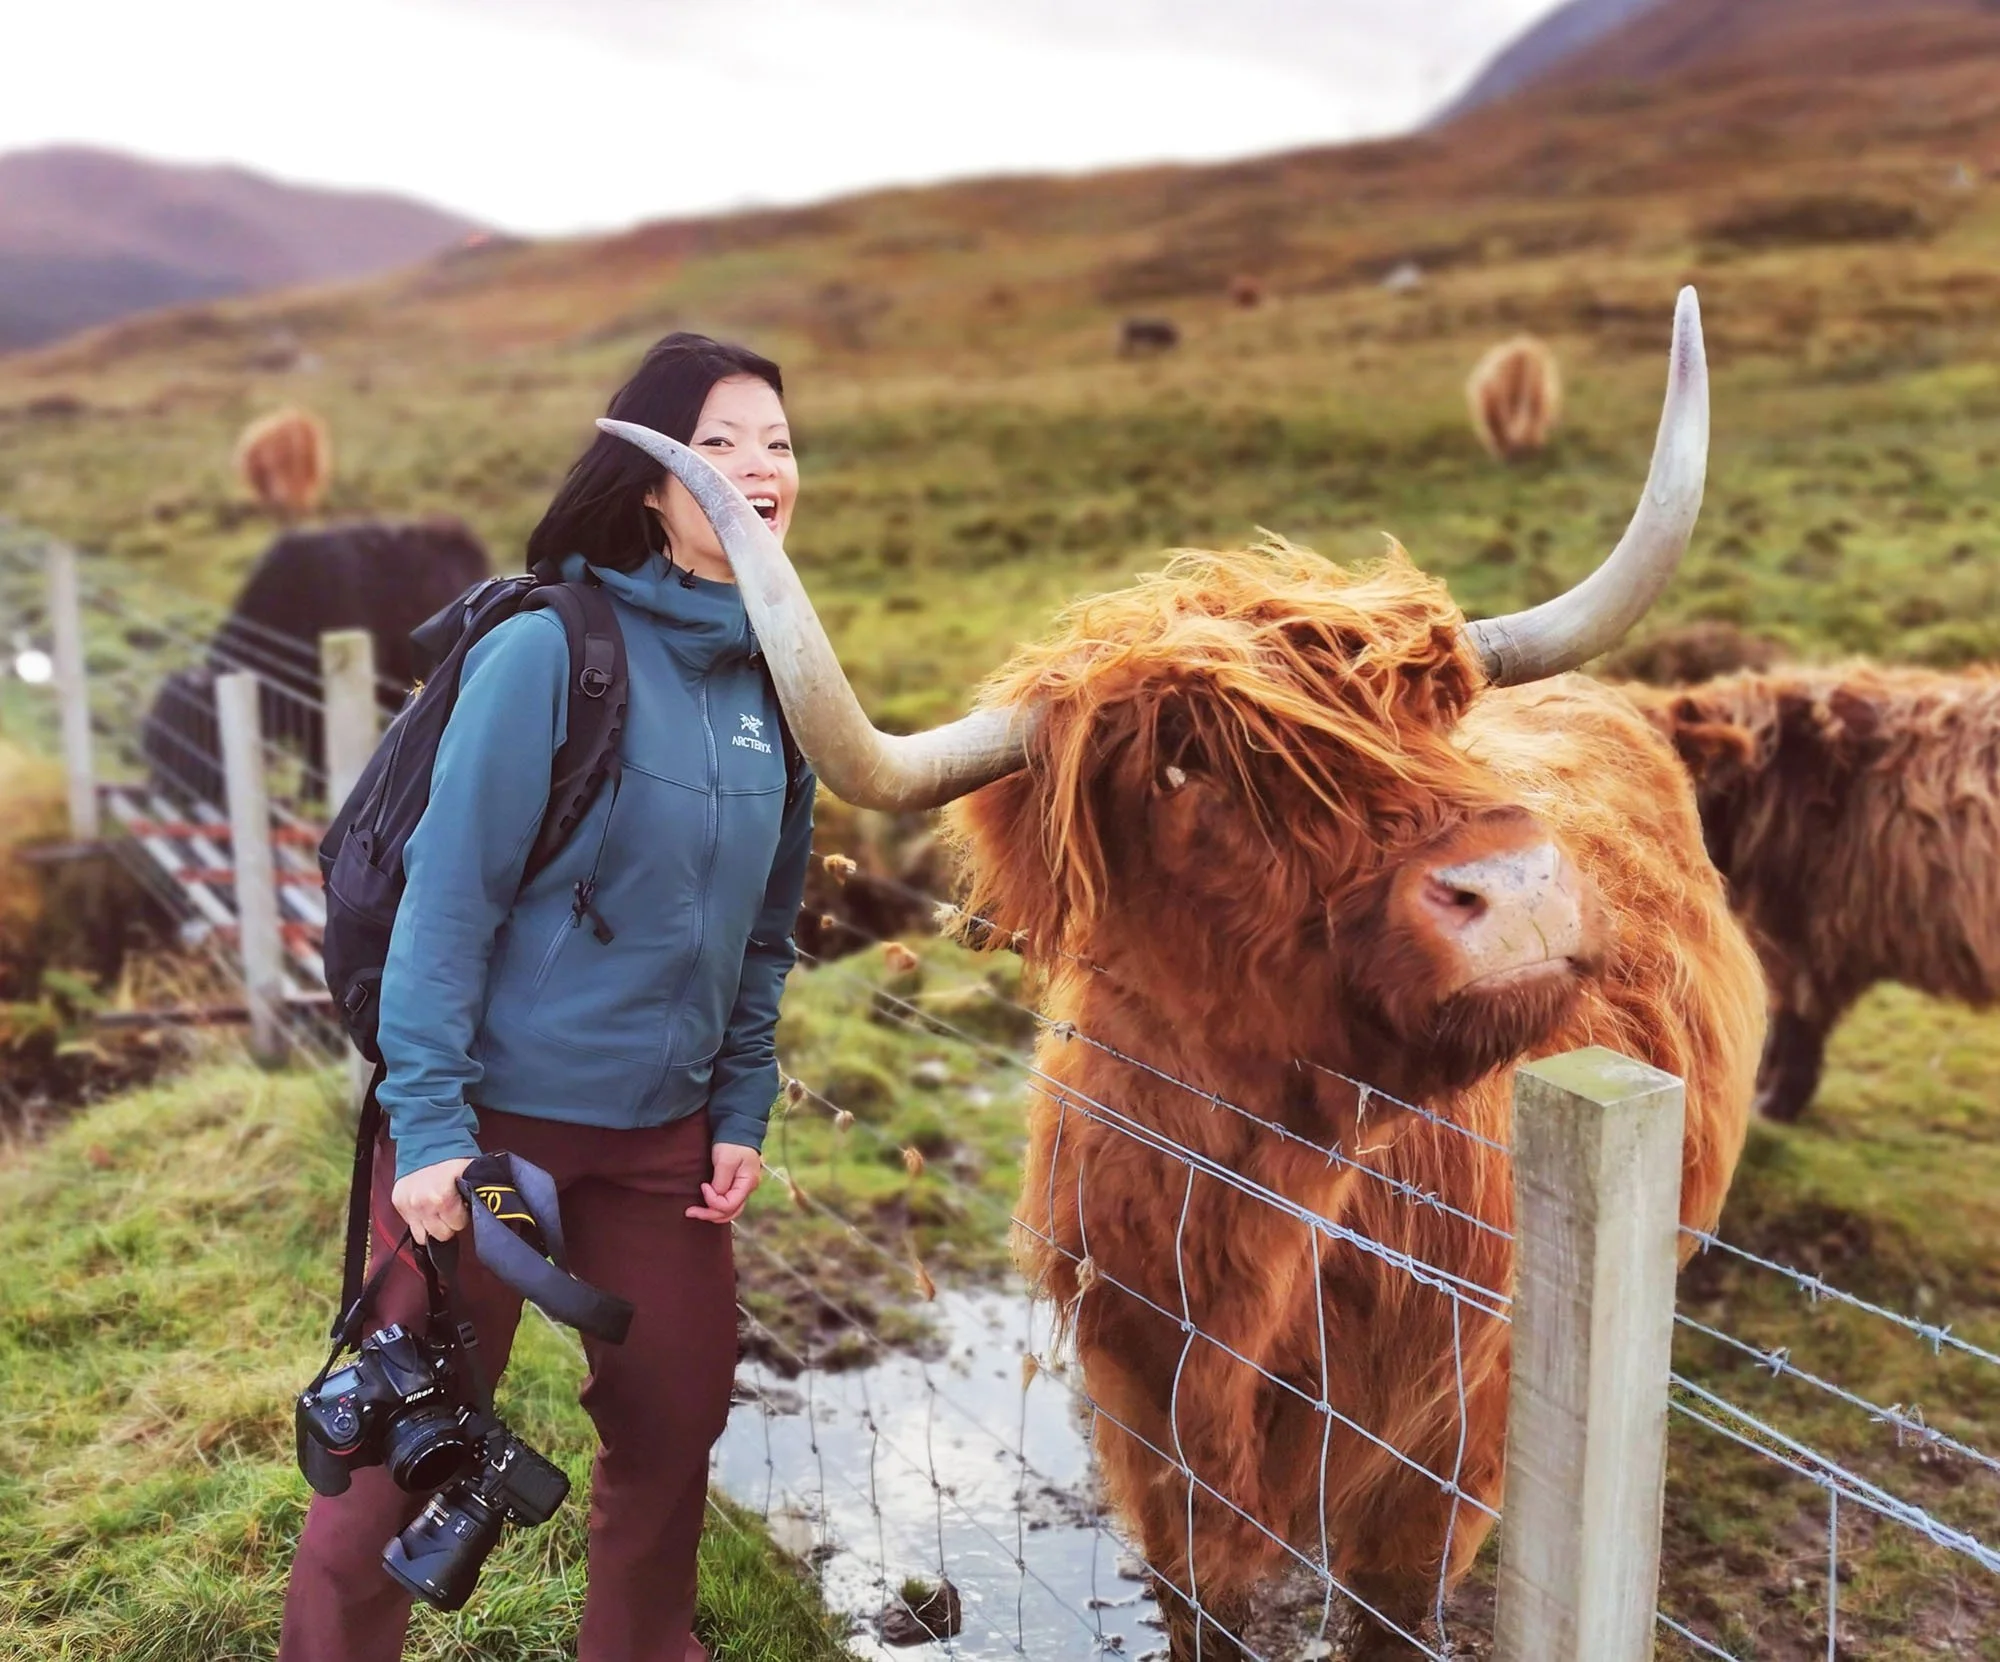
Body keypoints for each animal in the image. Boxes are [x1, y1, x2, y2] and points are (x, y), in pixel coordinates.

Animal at [601, 288, 1763, 1660]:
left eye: (1432, 717)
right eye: (1178, 770)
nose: (1518, 891)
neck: (1248, 1237)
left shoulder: (1443, 1466)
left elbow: (1390, 1613)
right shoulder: (1146, 1443)